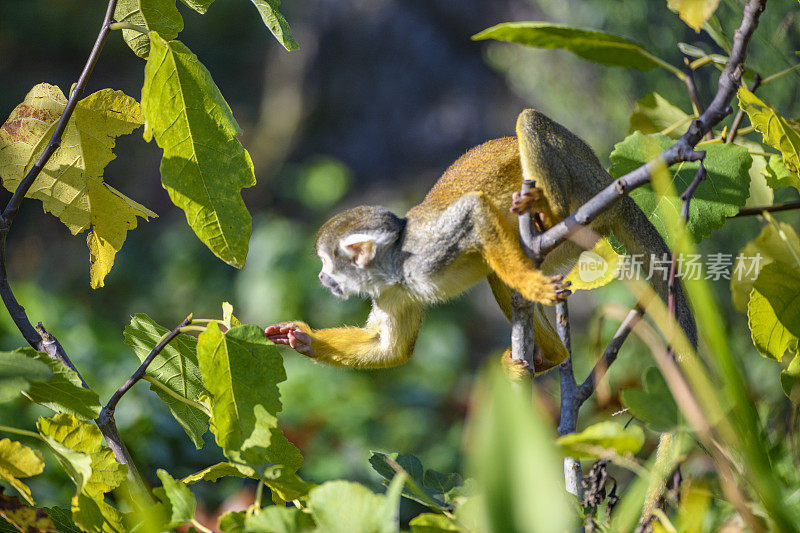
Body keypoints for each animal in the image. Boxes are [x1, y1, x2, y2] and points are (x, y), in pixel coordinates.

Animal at [266, 110, 696, 372]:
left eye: (327, 262)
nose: (322, 278)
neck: (393, 269)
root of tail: (613, 188)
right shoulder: (391, 293)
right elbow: (390, 348)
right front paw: (301, 338)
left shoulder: (422, 255)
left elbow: (474, 211)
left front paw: (526, 281)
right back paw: (553, 357)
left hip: (584, 188)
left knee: (529, 122)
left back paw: (548, 211)